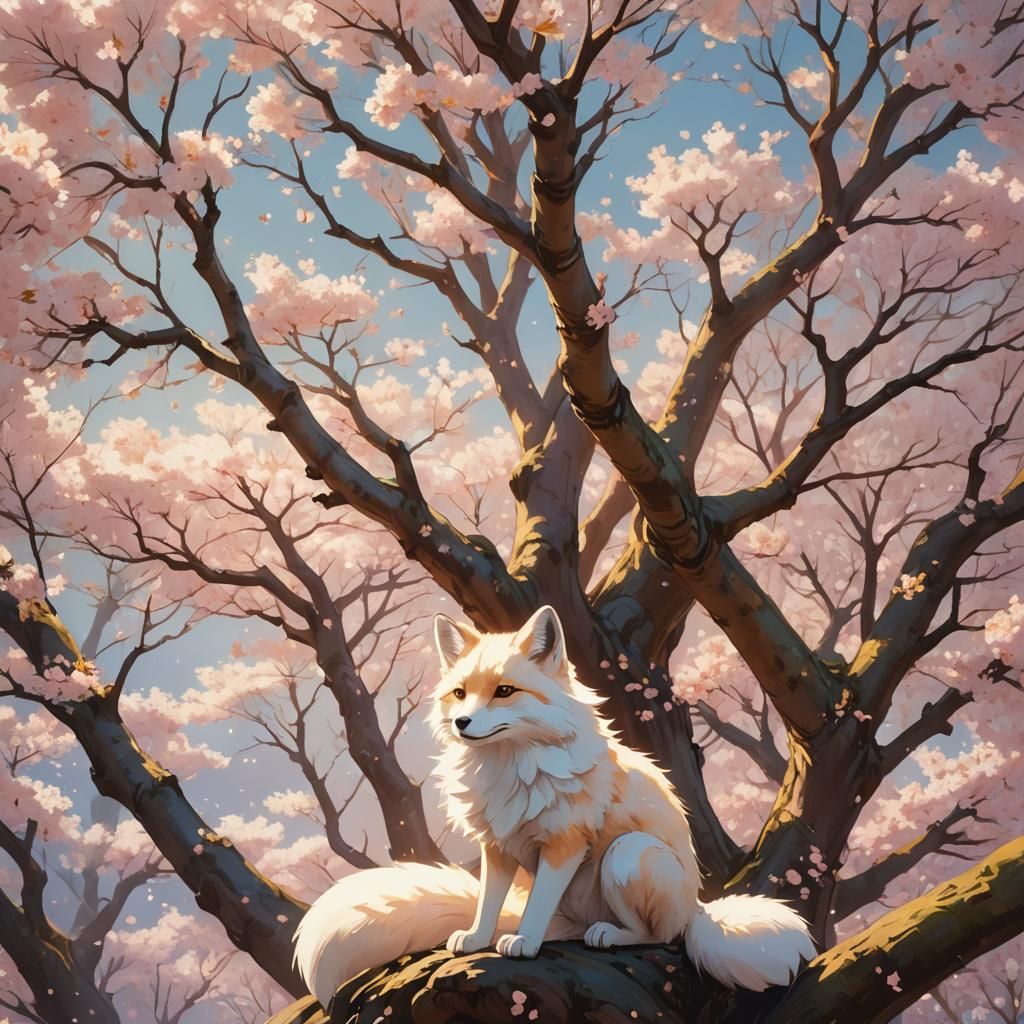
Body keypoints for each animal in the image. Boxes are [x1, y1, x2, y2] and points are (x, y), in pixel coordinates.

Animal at [293, 605, 815, 1007]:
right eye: (460, 693)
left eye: (504, 691)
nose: (462, 722)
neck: (511, 769)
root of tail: (699, 905)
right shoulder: (497, 845)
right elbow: (488, 902)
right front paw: (480, 939)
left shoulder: (565, 843)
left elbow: (538, 902)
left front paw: (523, 943)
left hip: (628, 853)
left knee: (662, 936)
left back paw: (607, 934)